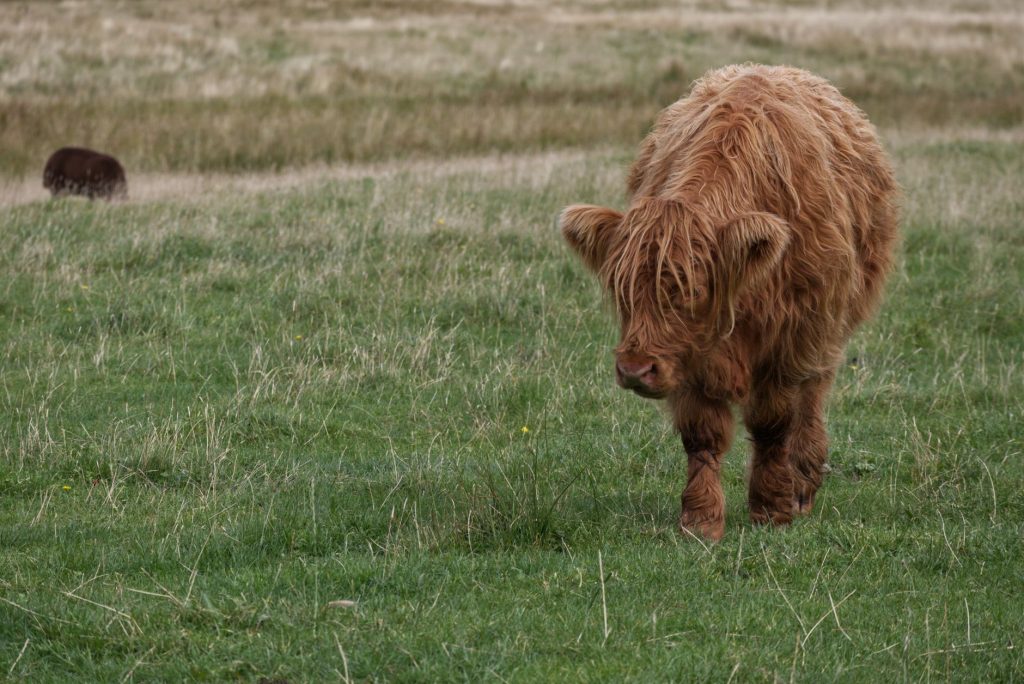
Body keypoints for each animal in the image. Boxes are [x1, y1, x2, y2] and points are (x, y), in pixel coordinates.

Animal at [559, 64, 899, 540]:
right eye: (620, 290)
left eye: (691, 290)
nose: (635, 369)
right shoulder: (689, 358)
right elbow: (702, 435)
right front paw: (701, 521)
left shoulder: (789, 340)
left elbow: (773, 422)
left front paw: (772, 509)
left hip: (828, 329)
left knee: (812, 397)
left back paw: (803, 484)